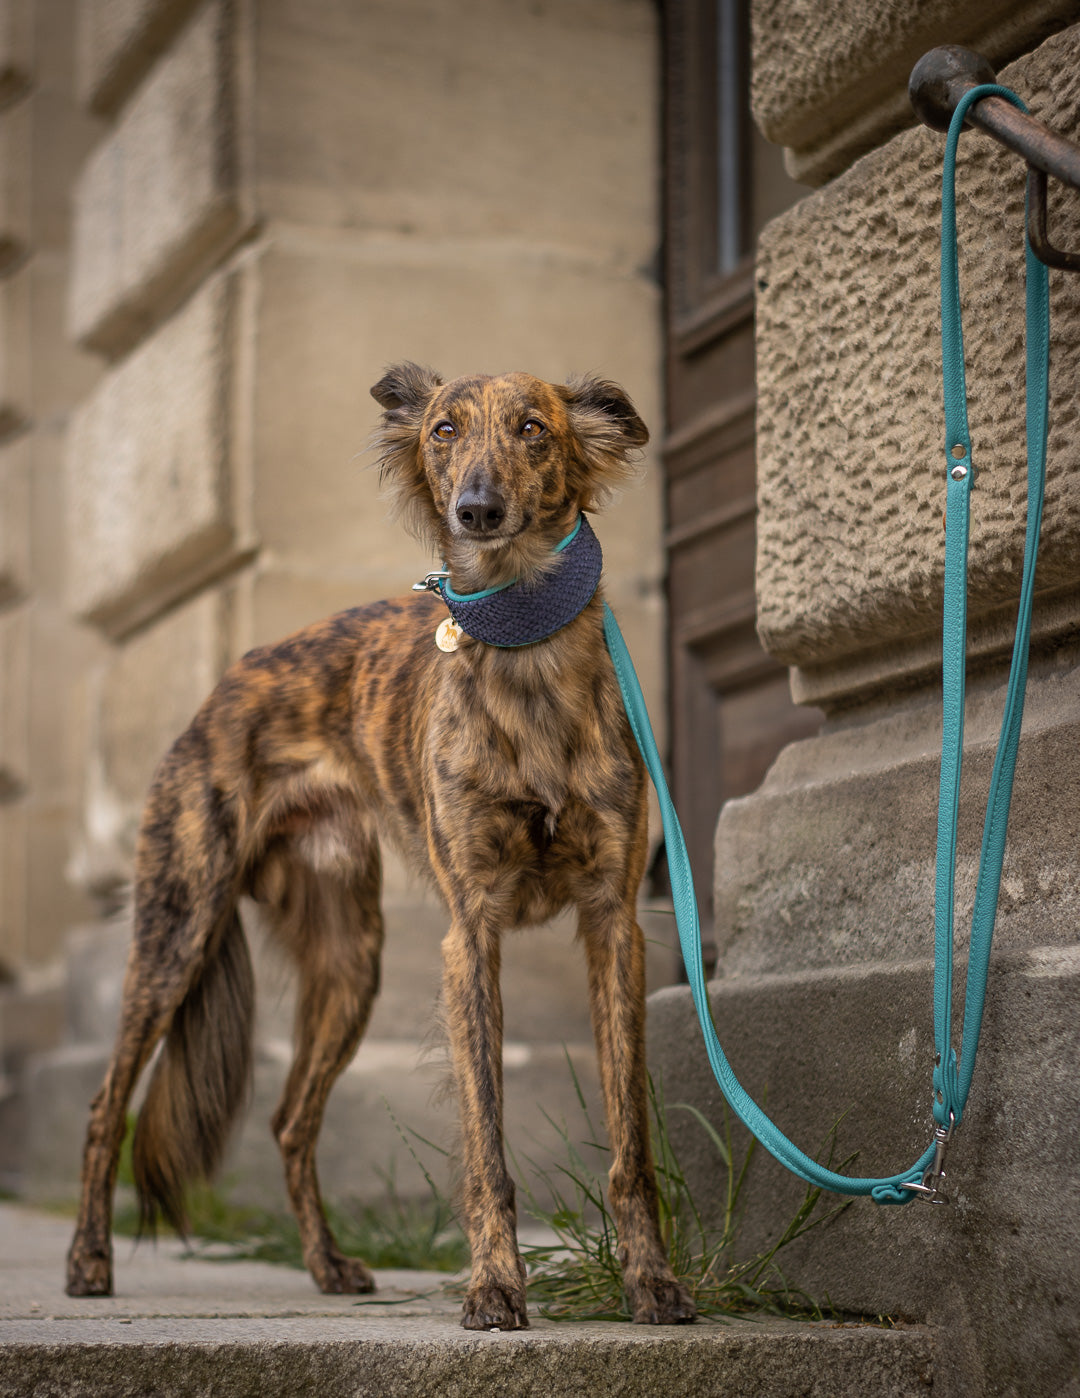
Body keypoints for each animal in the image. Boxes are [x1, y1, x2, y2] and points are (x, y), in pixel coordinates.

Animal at [63, 366, 695, 1325]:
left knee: (290, 1119)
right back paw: (89, 1261)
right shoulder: (471, 934)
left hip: (349, 960)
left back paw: (327, 1264)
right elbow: (485, 1142)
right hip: (177, 928)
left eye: (533, 428)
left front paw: (650, 1281)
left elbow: (630, 1142)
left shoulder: (612, 924)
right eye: (442, 429)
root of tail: (224, 685)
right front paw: (495, 1286)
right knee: (106, 1106)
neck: (526, 661)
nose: (477, 509)